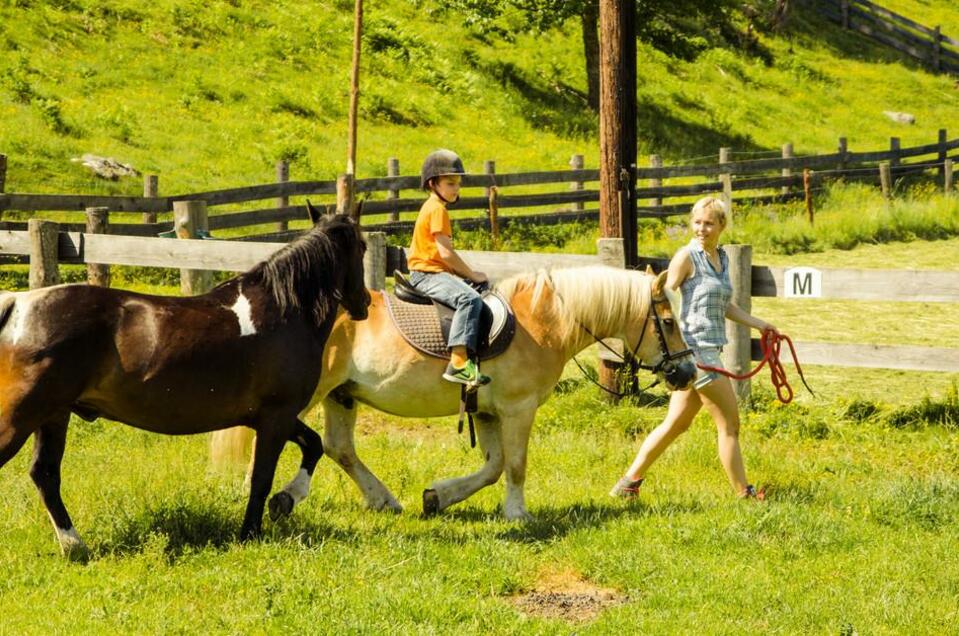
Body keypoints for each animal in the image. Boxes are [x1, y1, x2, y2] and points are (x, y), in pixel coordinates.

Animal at [0, 206, 368, 560]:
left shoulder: (269, 417)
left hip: (54, 415)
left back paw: (74, 546)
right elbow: (262, 478)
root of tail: (18, 305)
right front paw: (251, 531)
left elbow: (313, 445)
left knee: (46, 474)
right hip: (23, 416)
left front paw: (286, 500)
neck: (283, 311)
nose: (364, 304)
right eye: (363, 247)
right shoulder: (277, 415)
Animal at [214, 264, 692, 520]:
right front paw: (518, 513)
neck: (541, 321)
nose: (686, 371)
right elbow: (515, 465)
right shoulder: (518, 409)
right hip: (314, 392)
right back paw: (272, 494)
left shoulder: (487, 411)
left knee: (339, 447)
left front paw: (437, 497)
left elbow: (493, 466)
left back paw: (380, 498)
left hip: (341, 395)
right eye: (669, 322)